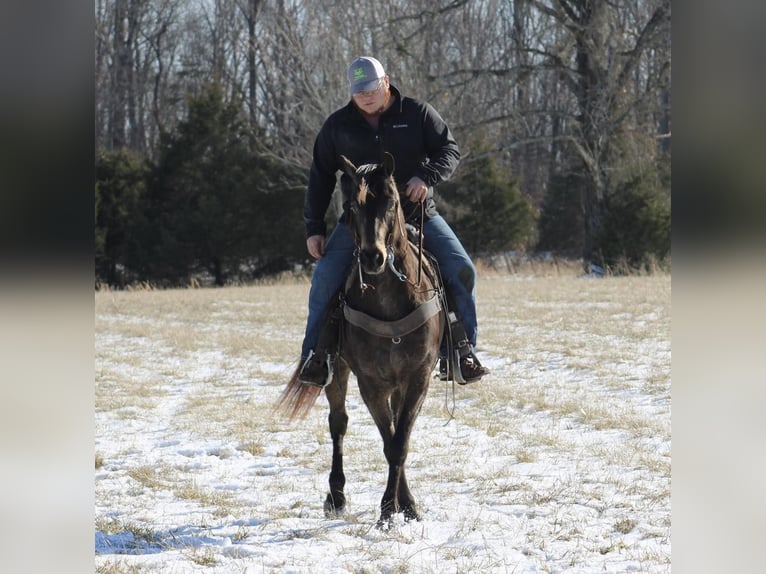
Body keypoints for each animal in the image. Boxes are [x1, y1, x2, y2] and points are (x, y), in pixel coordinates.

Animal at [280, 154, 444, 532]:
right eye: (353, 206)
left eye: (393, 201)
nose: (373, 257)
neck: (389, 299)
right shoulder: (370, 381)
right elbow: (389, 442)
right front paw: (388, 511)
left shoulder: (418, 377)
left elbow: (400, 440)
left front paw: (405, 507)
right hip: (335, 370)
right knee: (338, 423)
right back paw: (336, 497)